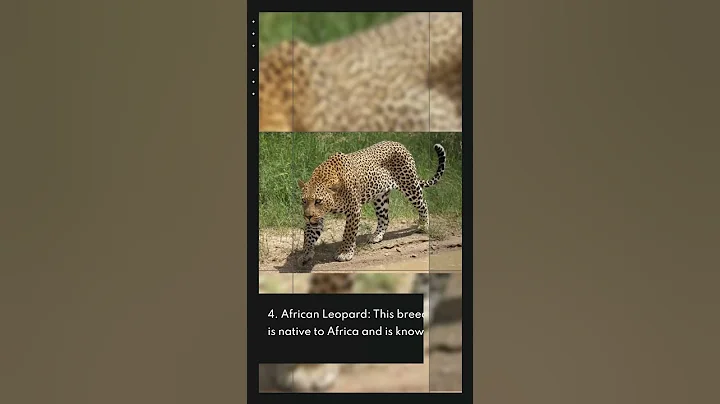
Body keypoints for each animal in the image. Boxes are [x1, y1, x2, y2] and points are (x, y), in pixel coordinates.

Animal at [297, 140, 446, 266]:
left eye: (318, 201)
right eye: (304, 201)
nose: (308, 216)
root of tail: (400, 144)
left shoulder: (354, 210)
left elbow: (348, 233)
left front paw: (345, 253)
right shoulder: (317, 217)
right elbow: (308, 235)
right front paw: (306, 253)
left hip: (409, 185)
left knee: (423, 204)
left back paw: (423, 225)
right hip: (380, 197)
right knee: (384, 218)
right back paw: (377, 236)